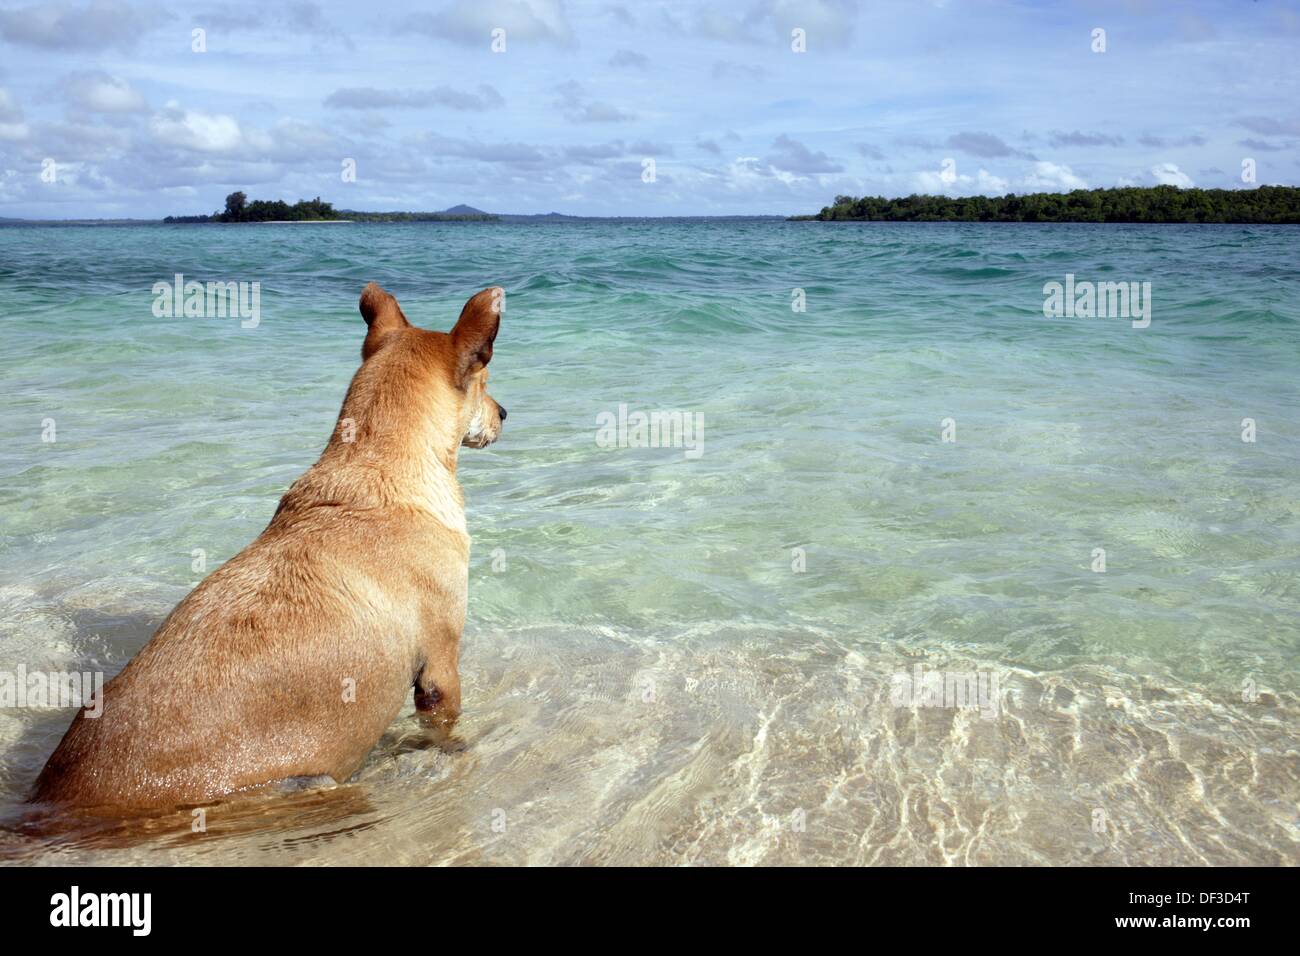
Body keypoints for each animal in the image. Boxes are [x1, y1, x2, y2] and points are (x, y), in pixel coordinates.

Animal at [30, 280, 506, 811]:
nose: (504, 413)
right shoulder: (441, 666)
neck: (373, 467)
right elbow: (444, 726)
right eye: (485, 381)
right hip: (311, 783)